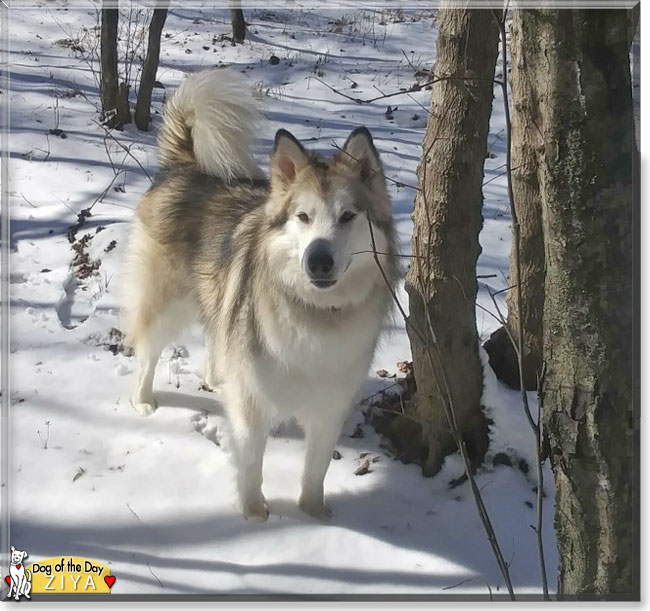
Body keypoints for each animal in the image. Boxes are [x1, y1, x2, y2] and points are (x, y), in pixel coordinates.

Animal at [121, 70, 394, 520]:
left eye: (348, 216)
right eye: (303, 217)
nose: (318, 260)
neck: (316, 315)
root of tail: (185, 164)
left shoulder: (331, 405)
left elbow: (316, 468)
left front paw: (314, 513)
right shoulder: (253, 402)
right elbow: (251, 462)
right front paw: (254, 515)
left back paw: (215, 378)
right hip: (167, 302)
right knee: (148, 350)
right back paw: (142, 400)